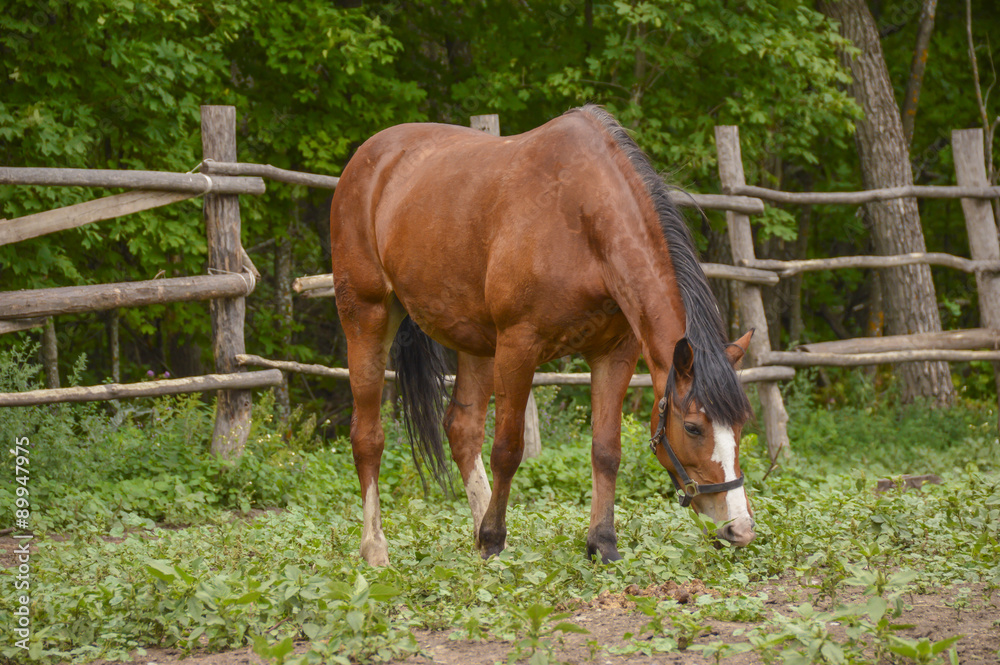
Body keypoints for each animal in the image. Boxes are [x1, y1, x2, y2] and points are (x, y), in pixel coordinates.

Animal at [329, 105, 756, 567]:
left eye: (741, 424)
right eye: (693, 428)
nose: (740, 529)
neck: (582, 220)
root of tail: (366, 158)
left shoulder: (615, 354)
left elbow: (606, 450)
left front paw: (602, 543)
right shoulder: (519, 347)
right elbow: (508, 449)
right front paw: (494, 538)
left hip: (476, 342)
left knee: (462, 429)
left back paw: (477, 535)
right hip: (367, 317)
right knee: (368, 437)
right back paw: (378, 548)